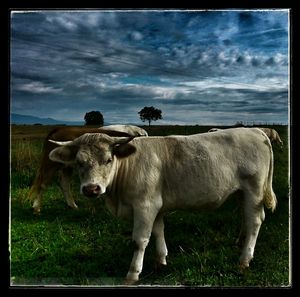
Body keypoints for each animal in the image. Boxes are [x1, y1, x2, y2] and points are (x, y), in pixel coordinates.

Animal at [48, 128, 276, 284]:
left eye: (108, 159)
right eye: (79, 162)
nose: (91, 189)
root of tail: (256, 130)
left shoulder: (145, 205)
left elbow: (139, 240)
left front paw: (133, 274)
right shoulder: (155, 205)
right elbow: (158, 231)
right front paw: (161, 260)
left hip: (254, 191)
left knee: (255, 221)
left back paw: (244, 259)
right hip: (241, 193)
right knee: (246, 217)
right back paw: (240, 242)